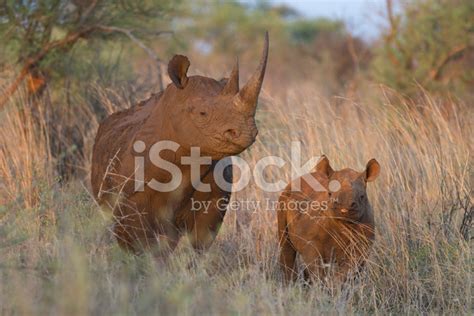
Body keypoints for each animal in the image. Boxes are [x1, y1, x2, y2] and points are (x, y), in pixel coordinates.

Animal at [90, 32, 268, 254]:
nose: (246, 131)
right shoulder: (130, 199)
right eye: (202, 113)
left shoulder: (215, 200)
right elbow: (142, 245)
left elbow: (200, 244)